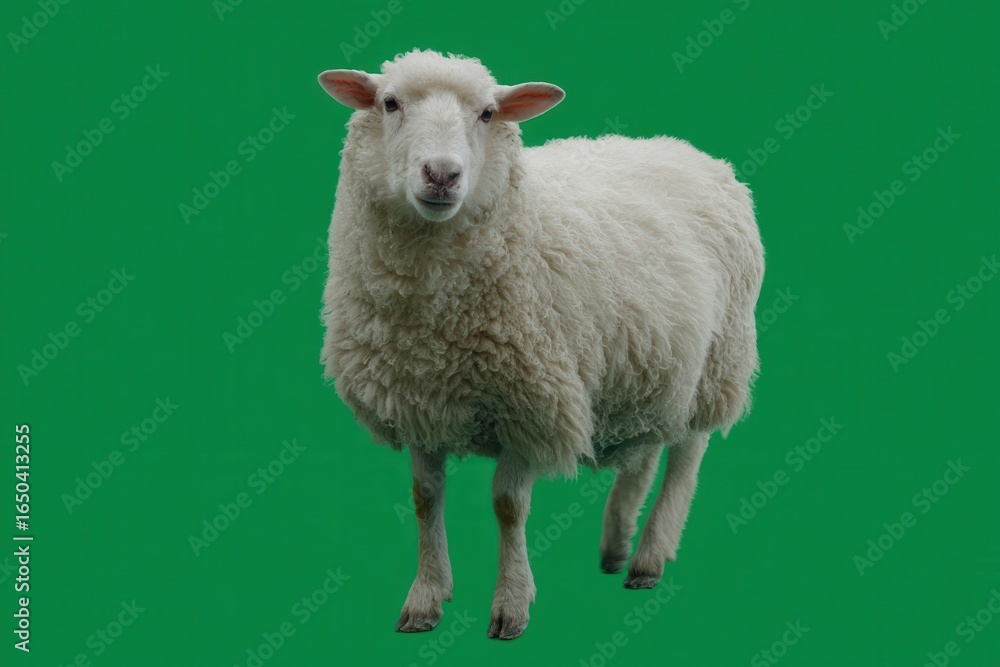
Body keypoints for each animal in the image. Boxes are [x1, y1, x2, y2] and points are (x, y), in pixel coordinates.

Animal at [318, 49, 764, 640]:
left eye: (487, 113)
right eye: (389, 103)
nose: (442, 175)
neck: (435, 328)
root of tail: (689, 150)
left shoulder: (531, 402)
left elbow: (508, 506)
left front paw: (511, 605)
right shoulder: (420, 400)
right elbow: (425, 499)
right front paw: (426, 598)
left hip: (716, 361)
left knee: (686, 455)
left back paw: (649, 556)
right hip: (647, 360)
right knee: (646, 448)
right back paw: (616, 544)